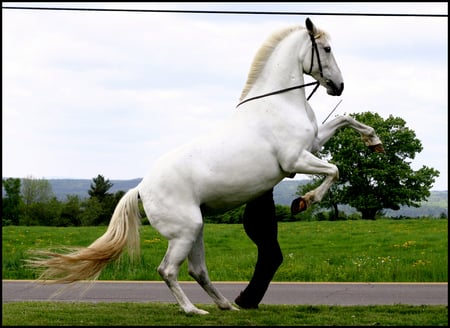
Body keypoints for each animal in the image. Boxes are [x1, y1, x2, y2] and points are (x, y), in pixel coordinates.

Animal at [28, 18, 384, 316]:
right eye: (326, 49)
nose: (338, 86)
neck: (279, 103)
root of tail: (141, 189)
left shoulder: (313, 145)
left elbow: (344, 120)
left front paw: (374, 140)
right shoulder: (296, 159)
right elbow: (334, 170)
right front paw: (304, 202)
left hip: (197, 229)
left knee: (197, 271)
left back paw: (228, 305)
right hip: (185, 231)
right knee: (168, 270)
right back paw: (193, 310)